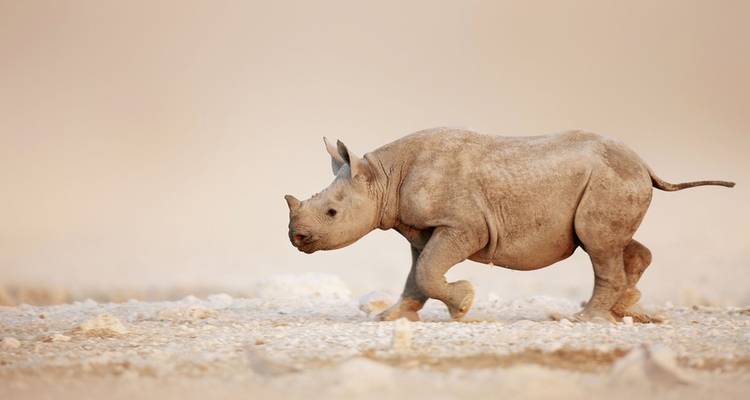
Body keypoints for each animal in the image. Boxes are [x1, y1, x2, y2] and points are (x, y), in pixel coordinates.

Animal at [284, 128, 735, 323]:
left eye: (331, 213)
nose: (296, 238)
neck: (382, 177)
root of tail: (645, 164)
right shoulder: (422, 229)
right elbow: (417, 273)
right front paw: (391, 318)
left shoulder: (463, 225)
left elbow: (428, 271)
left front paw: (464, 305)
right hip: (614, 179)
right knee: (614, 242)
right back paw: (624, 308)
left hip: (610, 179)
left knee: (598, 244)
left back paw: (583, 321)